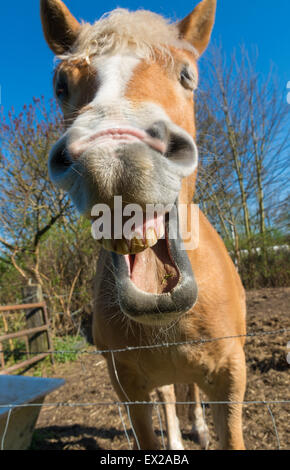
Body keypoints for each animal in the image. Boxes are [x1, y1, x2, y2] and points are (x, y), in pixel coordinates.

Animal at [41, 0, 247, 450]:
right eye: (61, 85)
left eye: (188, 75)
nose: (114, 155)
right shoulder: (128, 388)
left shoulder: (231, 377)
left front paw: (202, 429)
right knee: (171, 395)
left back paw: (198, 428)